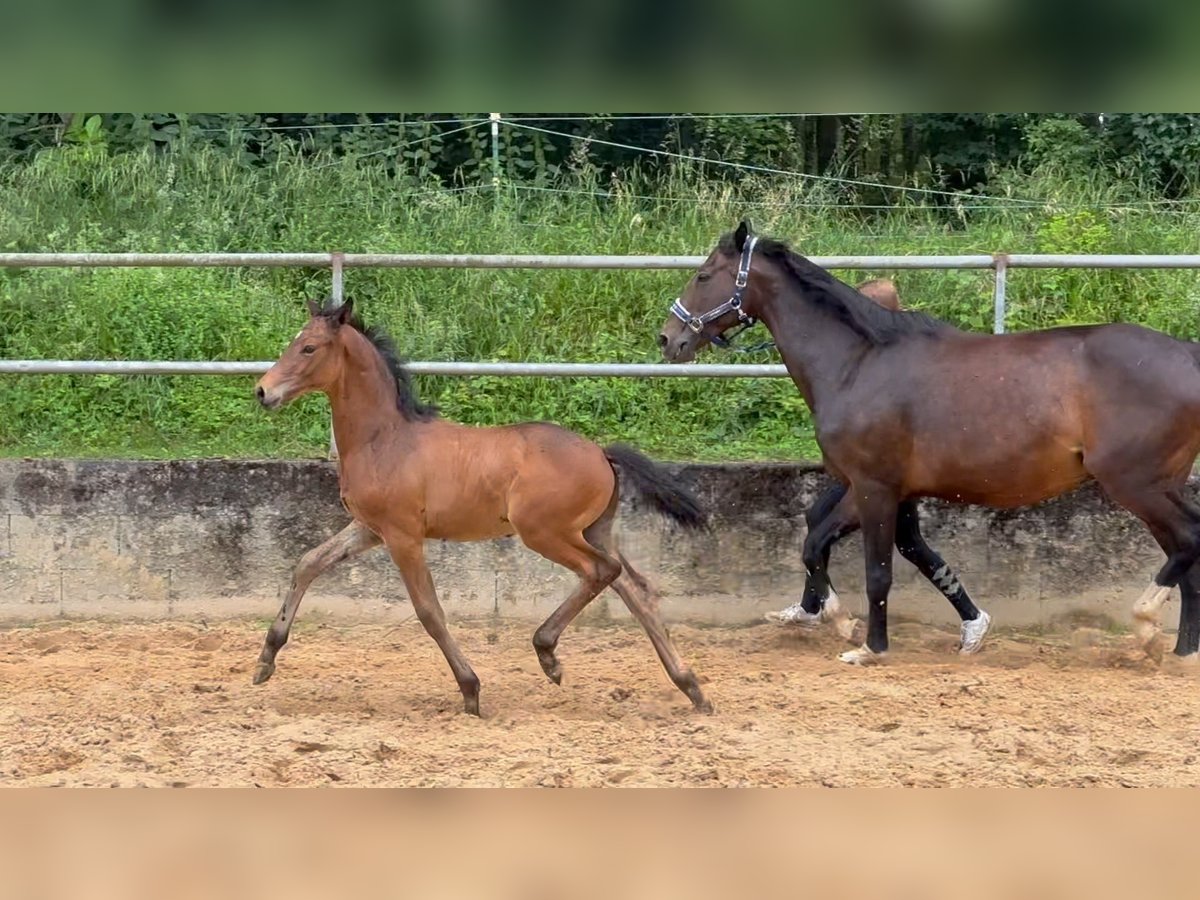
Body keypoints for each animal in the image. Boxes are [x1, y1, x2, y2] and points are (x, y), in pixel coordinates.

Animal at [248, 300, 705, 715]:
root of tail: (602, 454)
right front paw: (265, 660)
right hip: (593, 531)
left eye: (309, 347)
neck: (385, 440)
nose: (262, 391)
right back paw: (691, 687)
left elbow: (429, 611)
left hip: (545, 532)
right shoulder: (368, 528)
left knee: (602, 572)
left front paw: (470, 690)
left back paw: (548, 653)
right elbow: (307, 563)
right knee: (635, 589)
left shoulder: (402, 536)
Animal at [662, 222, 1200, 667]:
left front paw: (865, 644)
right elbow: (831, 542)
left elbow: (873, 569)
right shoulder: (882, 490)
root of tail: (1189, 355)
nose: (669, 338)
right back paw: (1180, 651)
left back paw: (1147, 626)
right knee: (1186, 550)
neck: (857, 363)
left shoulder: (874, 487)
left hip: (1135, 483)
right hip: (1158, 485)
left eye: (704, 275)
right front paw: (833, 618)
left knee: (1190, 540)